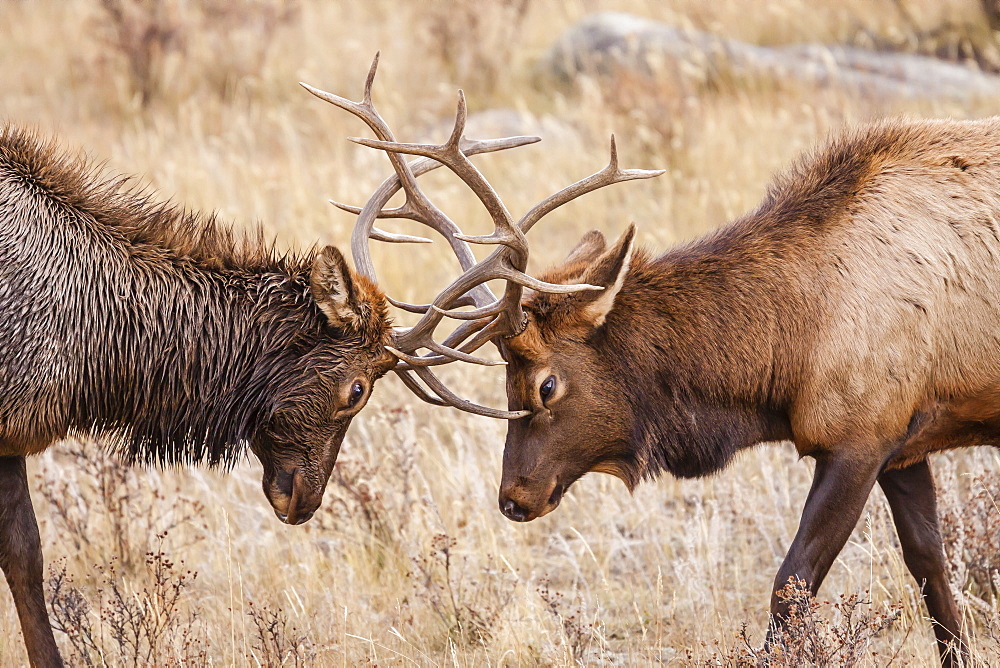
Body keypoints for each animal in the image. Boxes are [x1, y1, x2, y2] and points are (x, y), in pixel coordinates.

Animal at [330, 61, 992, 664]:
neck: (791, 351)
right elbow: (931, 569)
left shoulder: (858, 437)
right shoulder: (902, 442)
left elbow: (791, 586)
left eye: (546, 385)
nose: (514, 498)